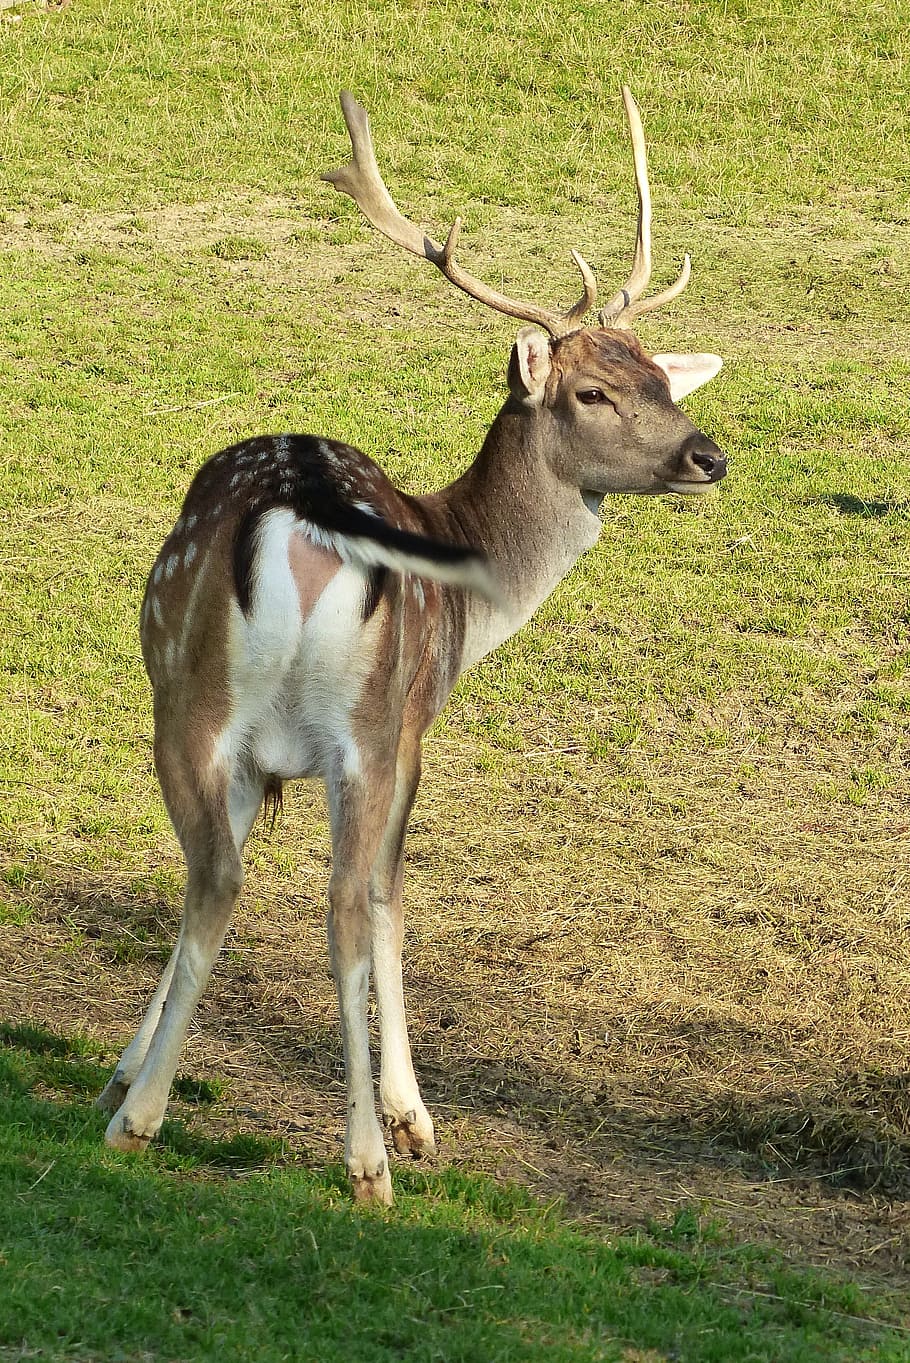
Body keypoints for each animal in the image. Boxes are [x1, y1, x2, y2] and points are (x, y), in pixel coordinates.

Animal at [97, 88, 726, 1205]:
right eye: (593, 393)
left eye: (659, 375)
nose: (708, 456)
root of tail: (301, 507)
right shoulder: (417, 725)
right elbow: (394, 897)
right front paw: (408, 1114)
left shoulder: (255, 762)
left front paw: (129, 1065)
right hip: (364, 723)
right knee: (349, 901)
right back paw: (366, 1161)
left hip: (189, 695)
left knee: (216, 878)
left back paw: (139, 1117)